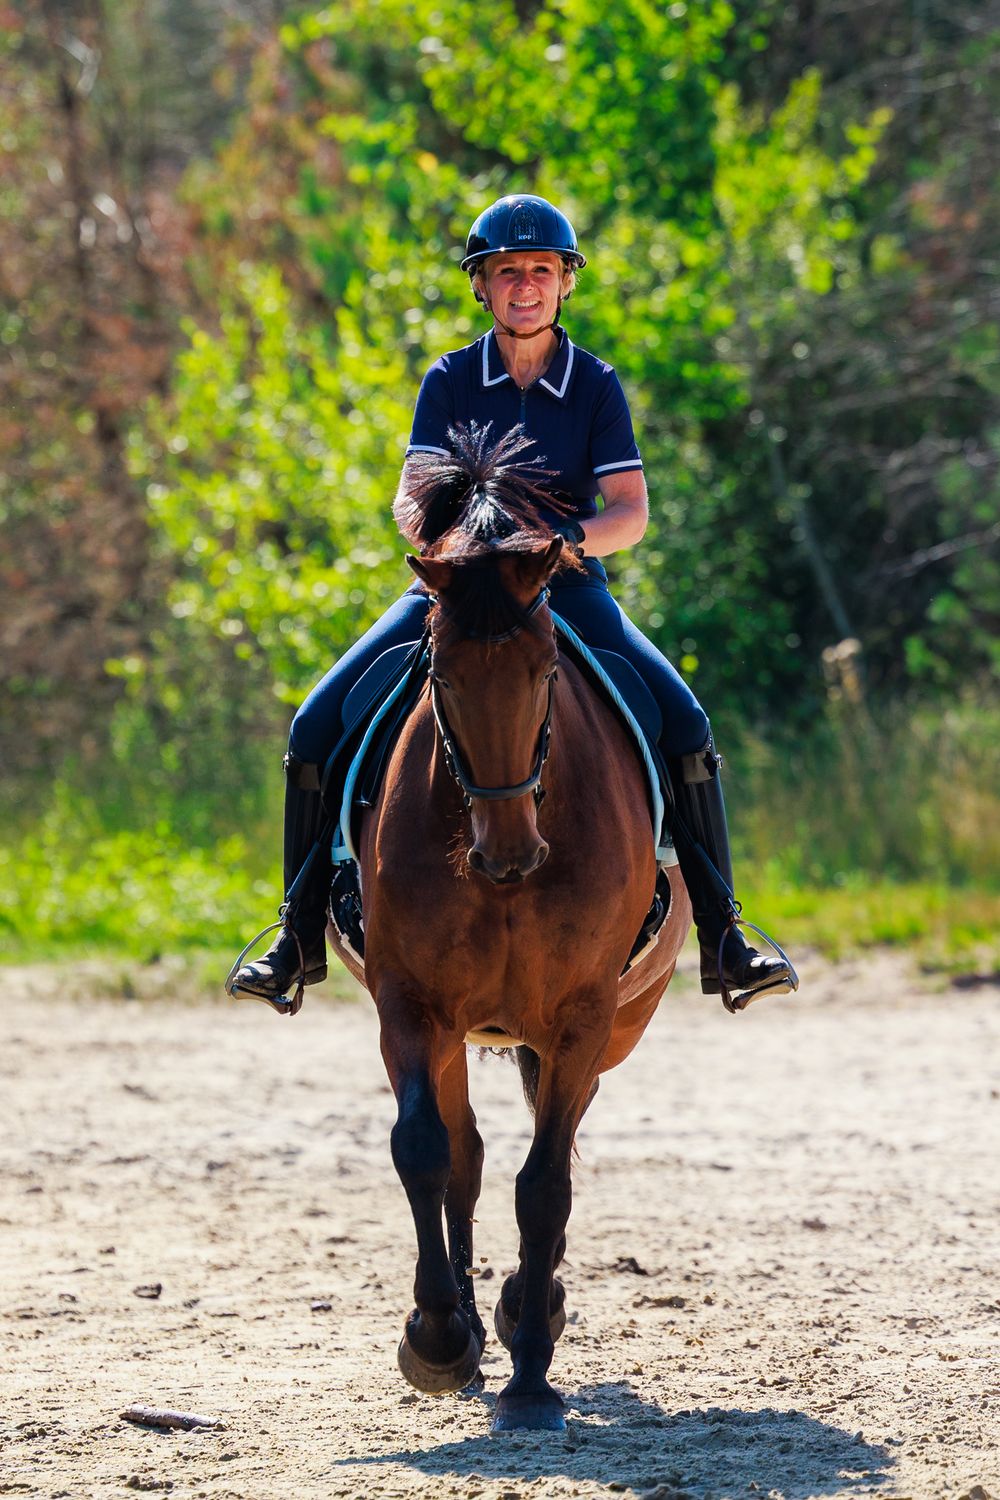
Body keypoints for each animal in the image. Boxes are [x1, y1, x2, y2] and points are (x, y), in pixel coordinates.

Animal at [327, 425, 691, 1432]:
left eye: (547, 670)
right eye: (440, 674)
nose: (509, 853)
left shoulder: (579, 1018)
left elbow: (546, 1182)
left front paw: (532, 1365)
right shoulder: (409, 1006)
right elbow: (426, 1152)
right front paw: (438, 1337)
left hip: (613, 1024)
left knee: (549, 1151)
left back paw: (535, 1306)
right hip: (459, 1029)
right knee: (468, 1152)